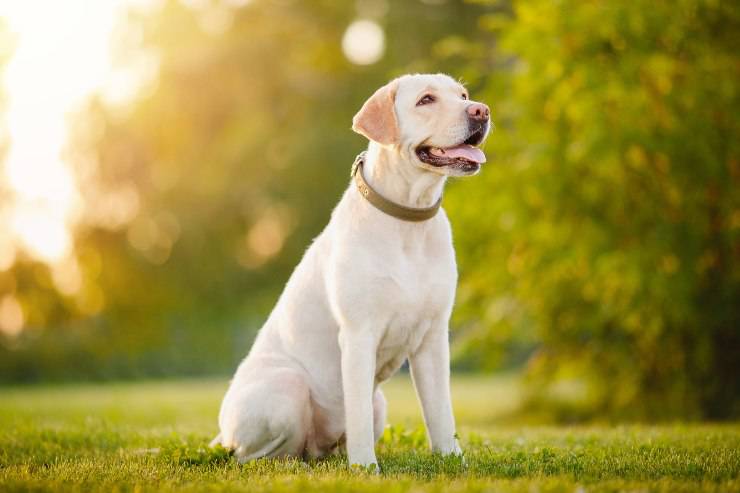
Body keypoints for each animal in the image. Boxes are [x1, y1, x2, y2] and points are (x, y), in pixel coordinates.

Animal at [210, 71, 492, 468]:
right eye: (426, 100)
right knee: (256, 453)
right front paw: (364, 468)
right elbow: (356, 413)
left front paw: (452, 460)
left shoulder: (433, 338)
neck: (409, 219)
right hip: (286, 389)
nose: (481, 111)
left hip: (379, 402)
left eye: (463, 95)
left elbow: (440, 412)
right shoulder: (359, 335)